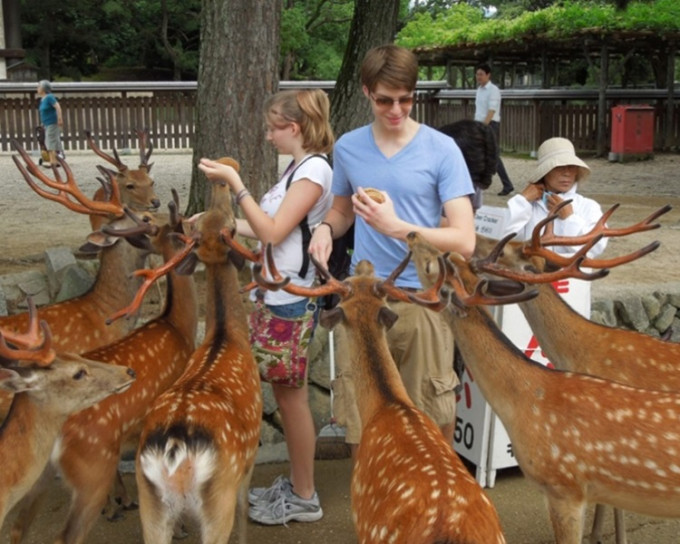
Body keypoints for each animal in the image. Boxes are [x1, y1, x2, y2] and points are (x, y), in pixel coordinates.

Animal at [133, 170, 262, 544]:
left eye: (204, 221)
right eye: (232, 225)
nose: (221, 185)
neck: (226, 337)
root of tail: (174, 448)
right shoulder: (249, 457)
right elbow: (244, 510)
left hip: (151, 504)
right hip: (218, 494)